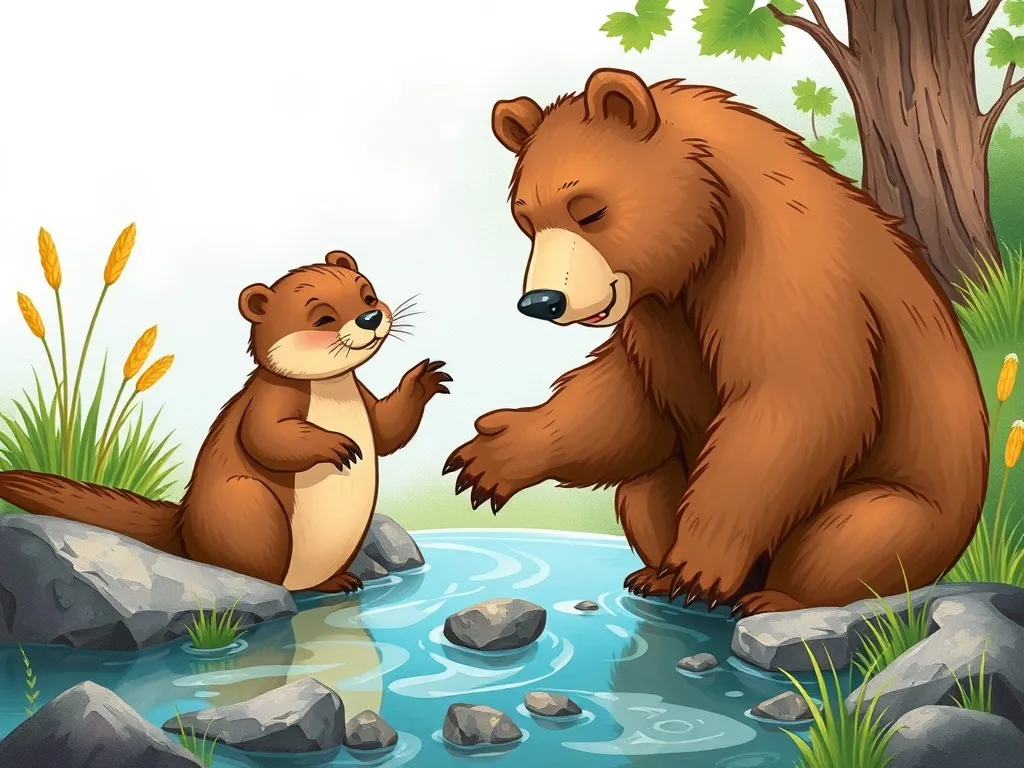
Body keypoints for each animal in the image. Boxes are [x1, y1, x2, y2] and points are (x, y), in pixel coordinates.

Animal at [0, 250, 451, 593]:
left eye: (368, 295)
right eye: (322, 317)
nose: (370, 319)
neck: (330, 390)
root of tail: (182, 529)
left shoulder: (364, 398)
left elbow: (387, 429)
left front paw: (426, 378)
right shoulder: (268, 400)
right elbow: (266, 437)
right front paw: (336, 444)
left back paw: (340, 581)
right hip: (246, 501)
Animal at [442, 67, 989, 615]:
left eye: (590, 210)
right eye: (526, 219)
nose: (543, 300)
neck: (710, 233)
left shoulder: (791, 274)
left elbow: (795, 402)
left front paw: (699, 564)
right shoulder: (659, 319)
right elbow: (628, 403)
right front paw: (488, 456)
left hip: (914, 506)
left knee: (856, 532)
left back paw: (772, 596)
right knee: (642, 487)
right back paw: (655, 575)